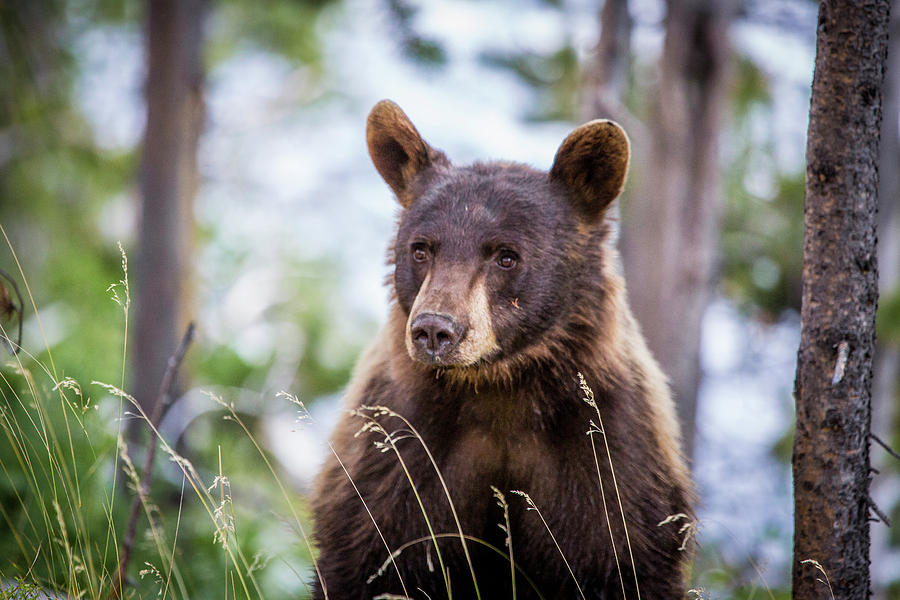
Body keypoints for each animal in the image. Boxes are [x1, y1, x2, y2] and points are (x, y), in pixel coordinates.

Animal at [312, 101, 696, 596]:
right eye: (421, 249)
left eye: (506, 255)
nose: (436, 330)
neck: (501, 389)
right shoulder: (398, 454)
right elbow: (371, 559)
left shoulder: (610, 459)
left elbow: (621, 556)